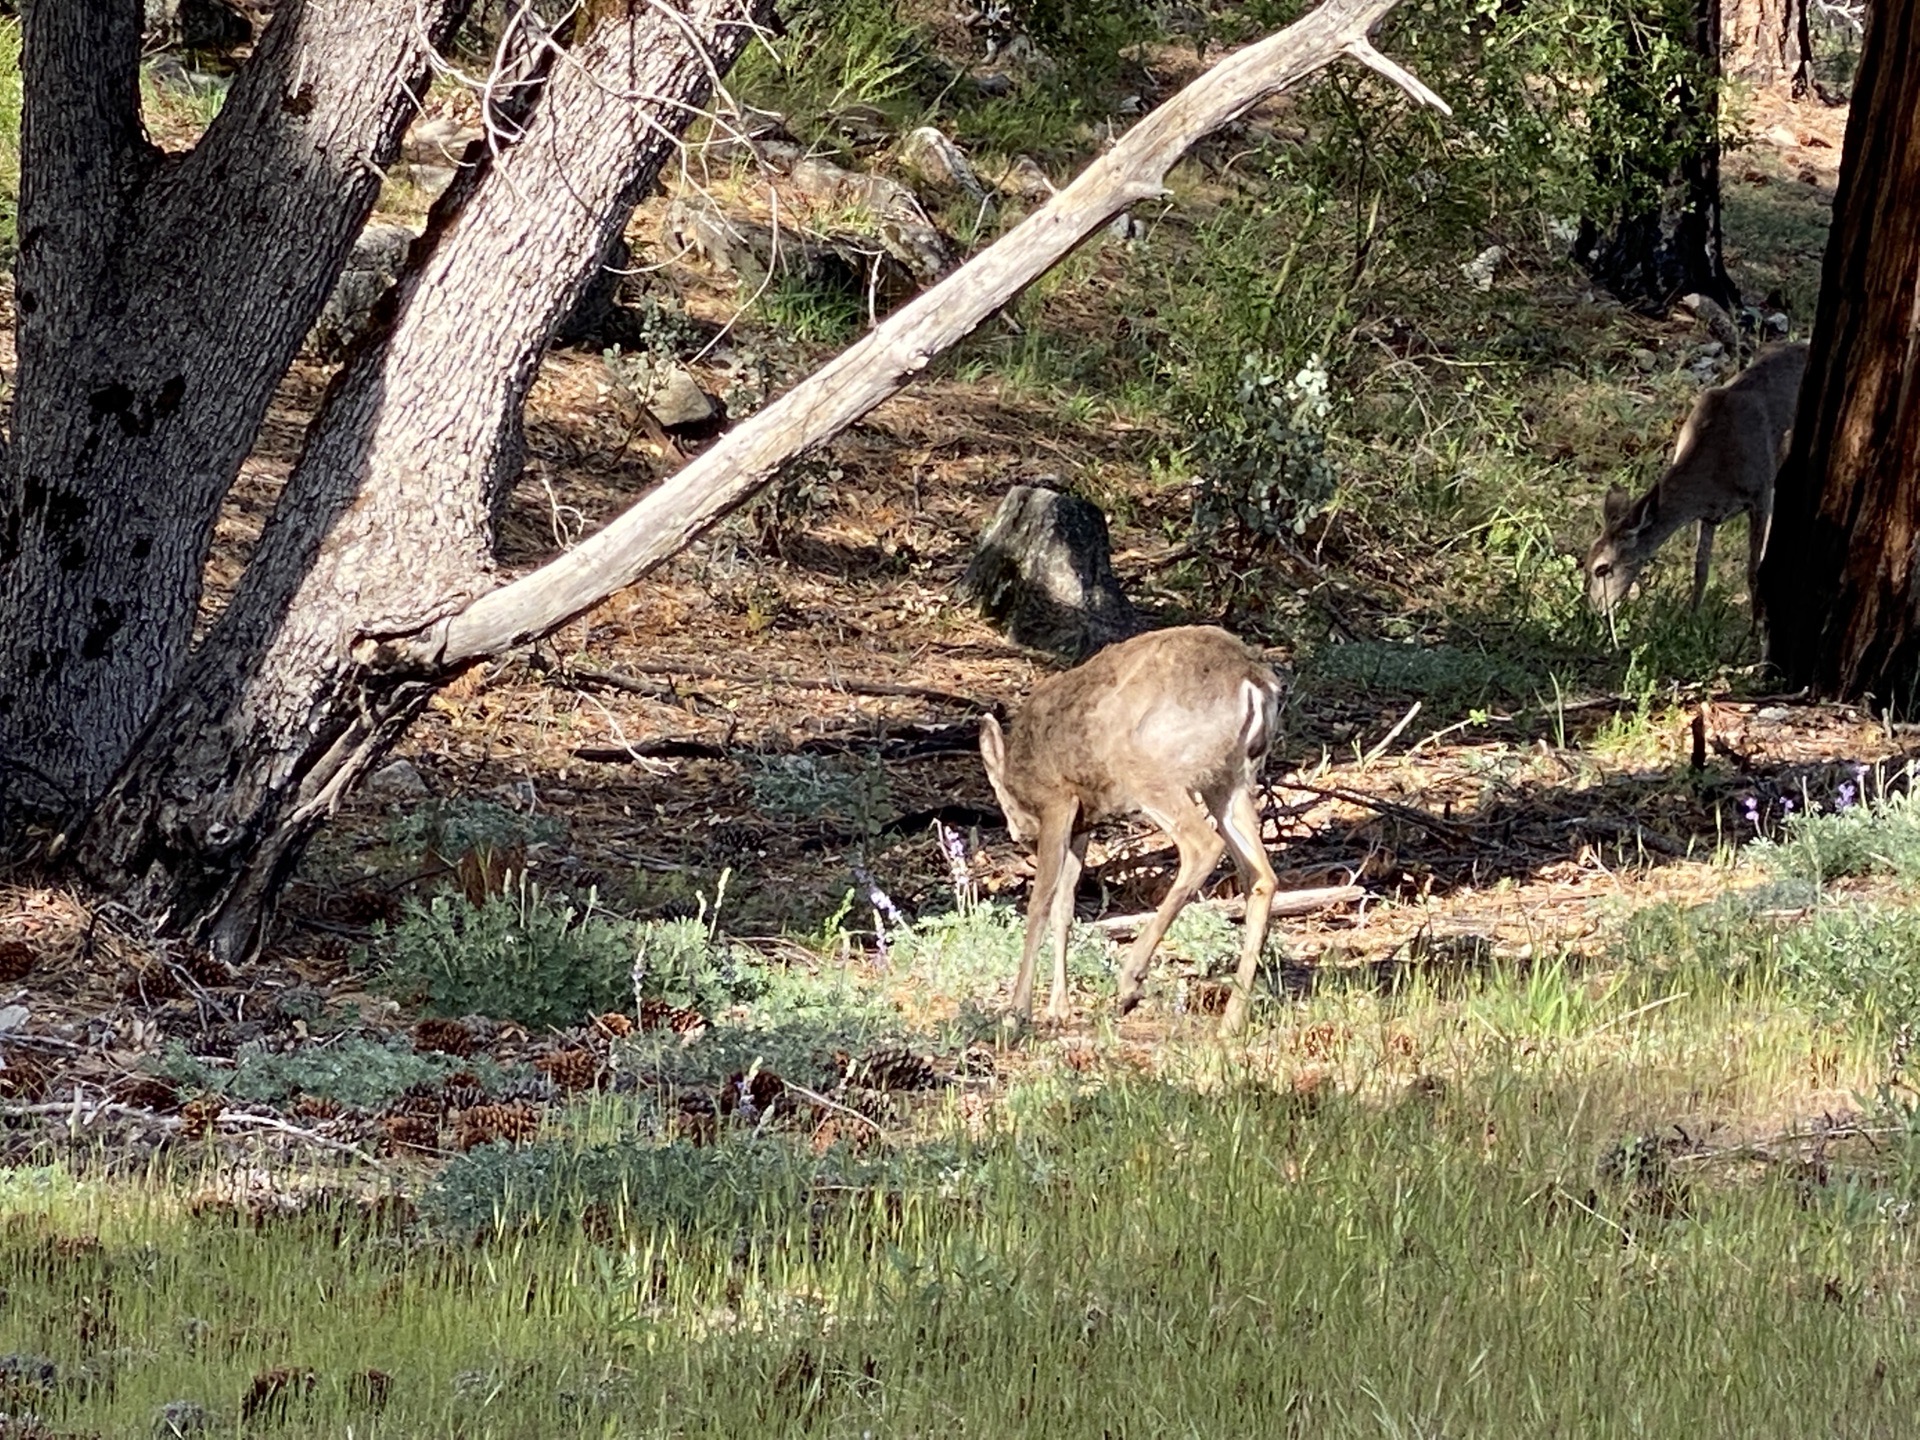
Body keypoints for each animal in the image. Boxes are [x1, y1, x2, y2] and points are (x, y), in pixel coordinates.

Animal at [975, 625, 1290, 1029]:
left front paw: (1018, 1009)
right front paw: (1058, 1009)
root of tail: (1253, 681)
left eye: (1001, 798)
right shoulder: (1081, 823)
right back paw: (1232, 1020)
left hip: (1151, 770)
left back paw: (1130, 981)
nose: (1019, 835)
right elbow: (1065, 905)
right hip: (1229, 781)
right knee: (1261, 876)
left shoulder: (1057, 799)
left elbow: (1040, 900)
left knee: (1202, 846)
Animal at [1582, 341, 1804, 614]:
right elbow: (1701, 570)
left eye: (1602, 568)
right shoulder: (1709, 514)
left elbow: (1753, 572)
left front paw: (1756, 625)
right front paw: (1692, 617)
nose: (1594, 611)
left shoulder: (1760, 492)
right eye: (1586, 561)